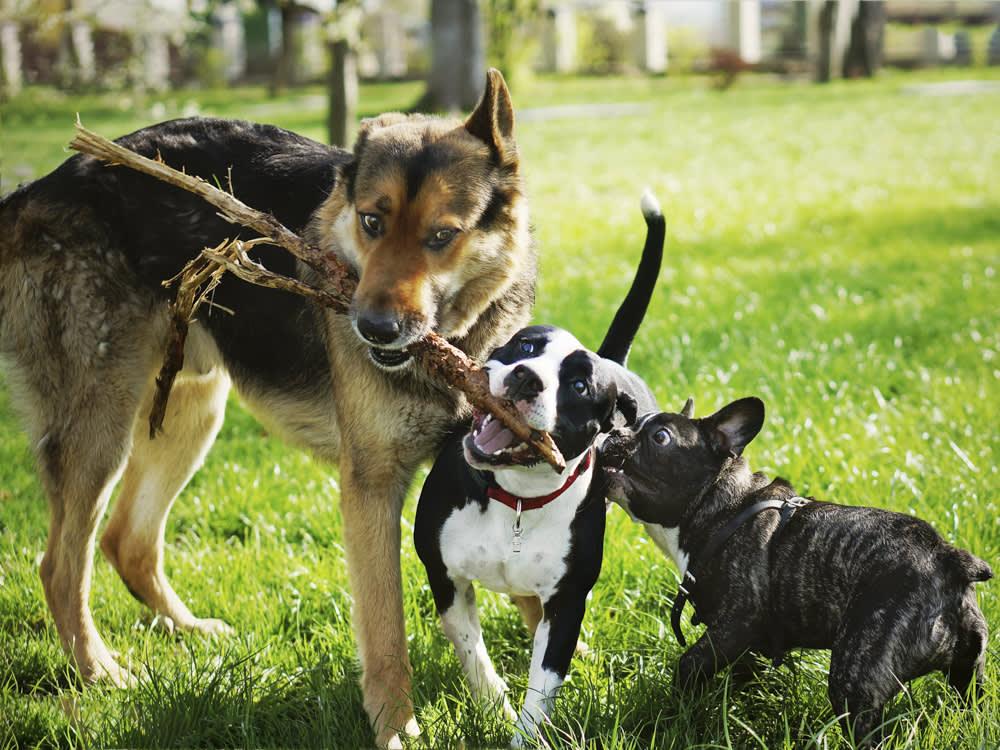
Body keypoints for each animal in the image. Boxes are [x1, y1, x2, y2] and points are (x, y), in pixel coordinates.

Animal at [0, 69, 536, 748]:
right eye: (371, 222)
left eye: (442, 236)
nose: (372, 329)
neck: (457, 346)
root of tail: (38, 188)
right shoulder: (371, 488)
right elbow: (385, 629)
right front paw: (395, 726)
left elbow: (532, 594)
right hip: (102, 428)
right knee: (60, 566)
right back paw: (101, 673)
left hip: (190, 411)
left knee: (128, 542)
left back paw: (187, 632)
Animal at [414, 192, 664, 748]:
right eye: (526, 346)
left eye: (578, 386)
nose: (528, 378)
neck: (516, 499)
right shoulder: (446, 578)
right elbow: (474, 655)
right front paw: (493, 712)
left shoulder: (567, 602)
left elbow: (543, 682)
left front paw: (523, 731)